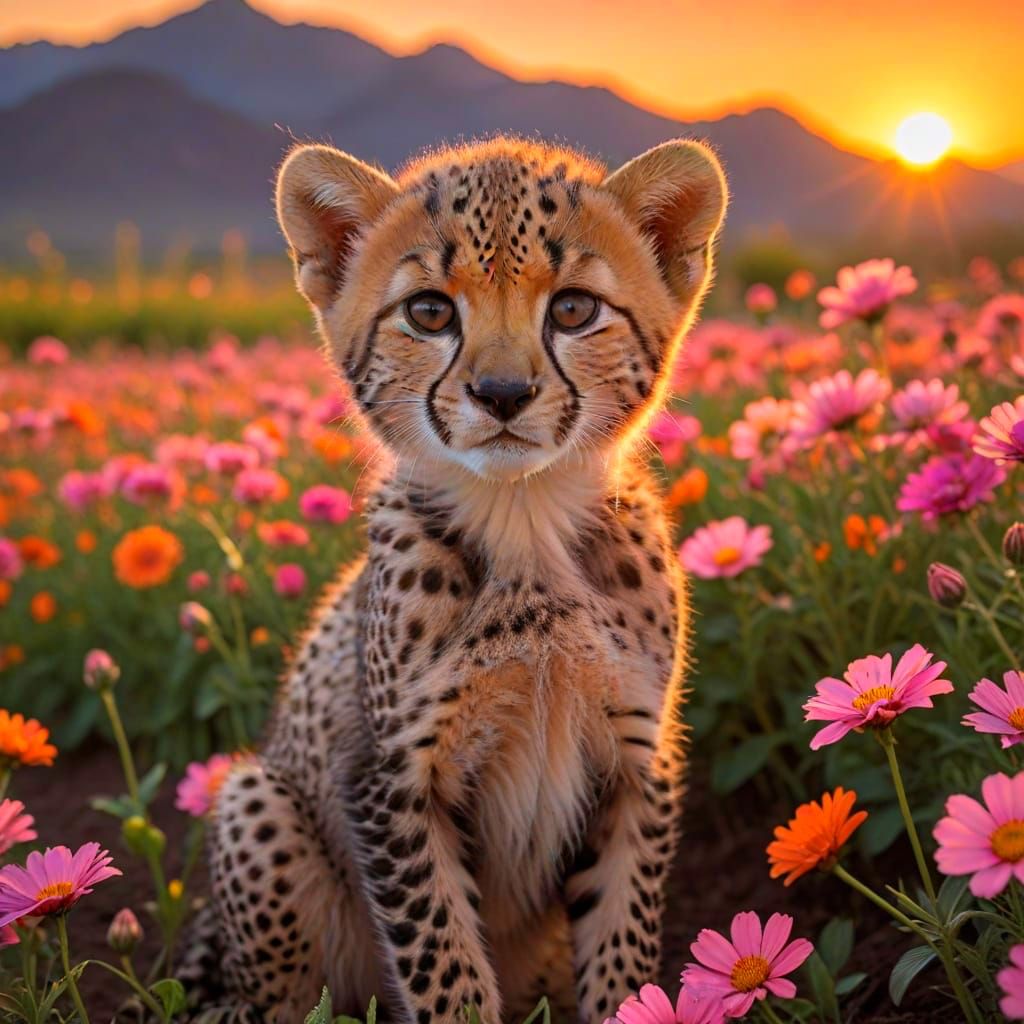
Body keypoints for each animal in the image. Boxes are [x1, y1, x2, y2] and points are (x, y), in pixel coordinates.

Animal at [180, 134, 727, 1024]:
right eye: (430, 313)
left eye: (573, 309)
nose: (502, 393)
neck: (525, 524)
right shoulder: (392, 784)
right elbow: (445, 966)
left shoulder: (636, 764)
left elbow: (623, 944)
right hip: (254, 798)